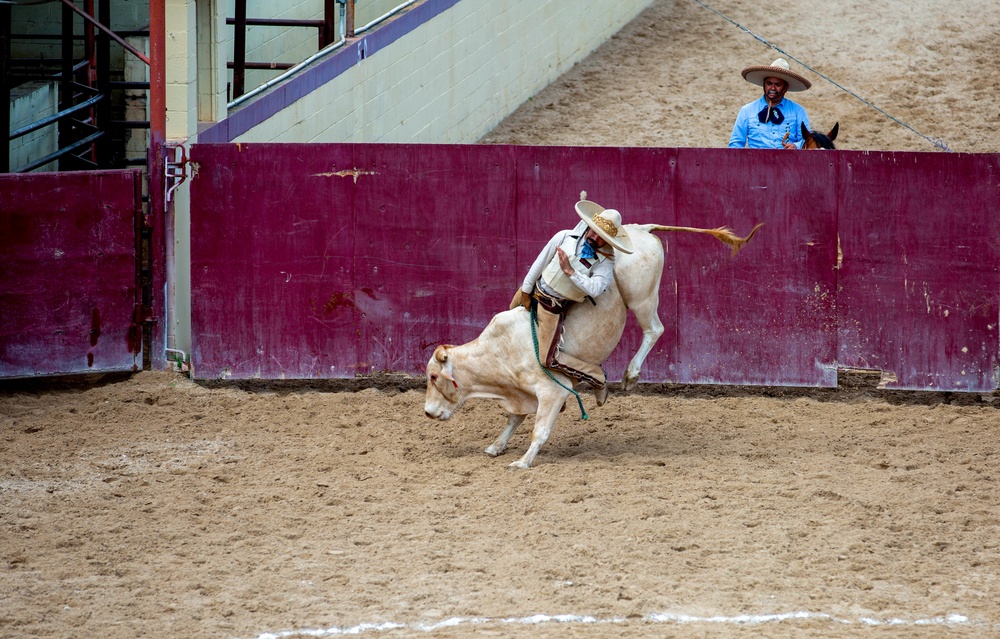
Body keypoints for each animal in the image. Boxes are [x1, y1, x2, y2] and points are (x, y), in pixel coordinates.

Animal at [422, 222, 756, 468]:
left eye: (434, 376)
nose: (427, 412)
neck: (501, 352)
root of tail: (639, 228)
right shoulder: (522, 393)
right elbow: (514, 418)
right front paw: (497, 446)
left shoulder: (552, 392)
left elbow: (539, 429)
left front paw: (523, 462)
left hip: (642, 298)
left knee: (655, 329)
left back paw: (630, 375)